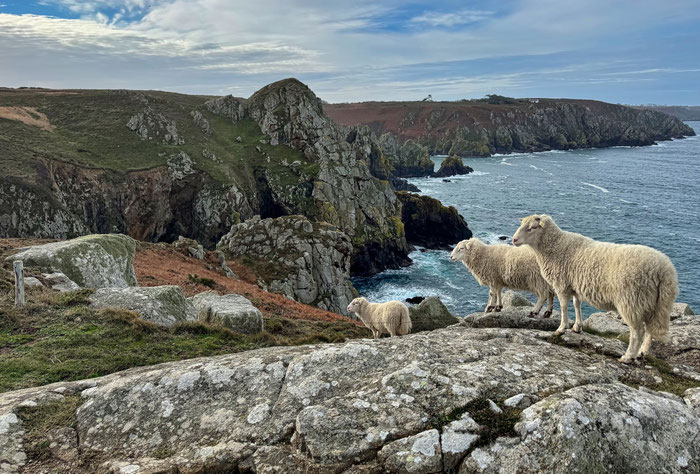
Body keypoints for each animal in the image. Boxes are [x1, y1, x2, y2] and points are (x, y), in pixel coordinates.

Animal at [512, 214, 678, 363]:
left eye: (532, 227)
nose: (514, 240)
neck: (555, 246)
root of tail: (665, 271)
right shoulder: (575, 285)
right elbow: (576, 305)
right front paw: (577, 327)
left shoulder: (562, 284)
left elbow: (564, 307)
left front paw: (561, 328)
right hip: (655, 303)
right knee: (650, 329)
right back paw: (641, 353)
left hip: (632, 300)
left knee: (638, 331)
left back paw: (628, 356)